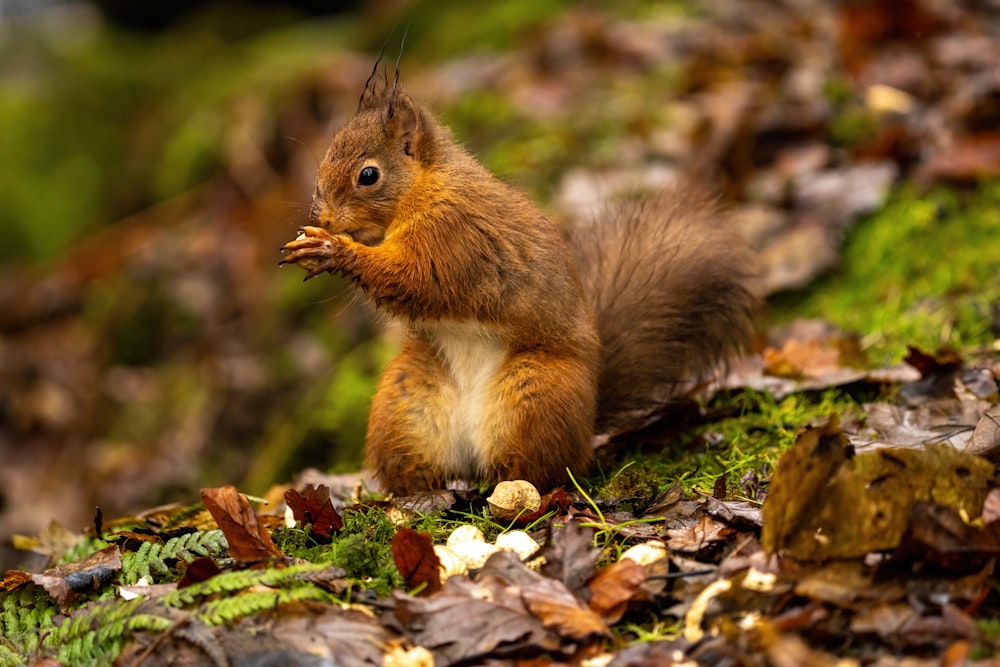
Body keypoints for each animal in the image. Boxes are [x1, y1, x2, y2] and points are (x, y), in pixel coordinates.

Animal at [282, 73, 756, 496]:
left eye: (368, 175)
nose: (322, 217)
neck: (424, 187)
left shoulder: (453, 236)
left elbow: (416, 279)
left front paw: (334, 250)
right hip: (404, 404)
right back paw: (417, 496)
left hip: (534, 395)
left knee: (538, 470)